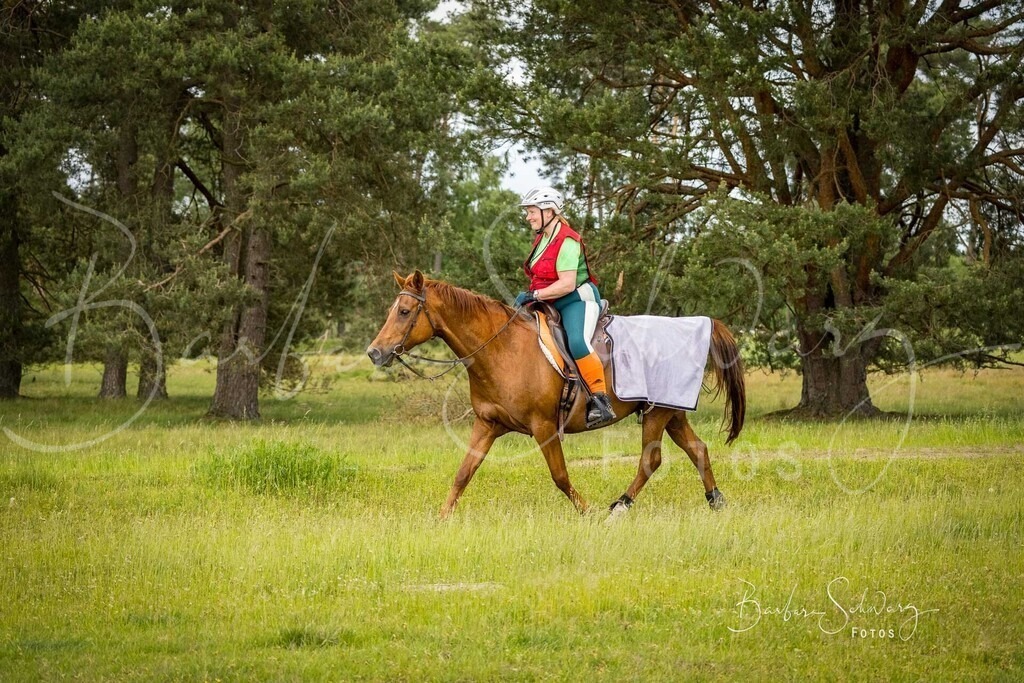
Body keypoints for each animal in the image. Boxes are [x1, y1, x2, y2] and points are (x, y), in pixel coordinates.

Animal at [367, 270, 745, 519]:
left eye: (404, 312)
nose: (374, 352)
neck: (503, 350)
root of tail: (697, 325)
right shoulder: (487, 425)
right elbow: (464, 473)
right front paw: (442, 519)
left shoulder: (544, 428)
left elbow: (560, 476)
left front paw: (587, 512)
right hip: (671, 411)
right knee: (698, 450)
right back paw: (716, 501)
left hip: (657, 413)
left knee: (650, 461)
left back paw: (618, 507)